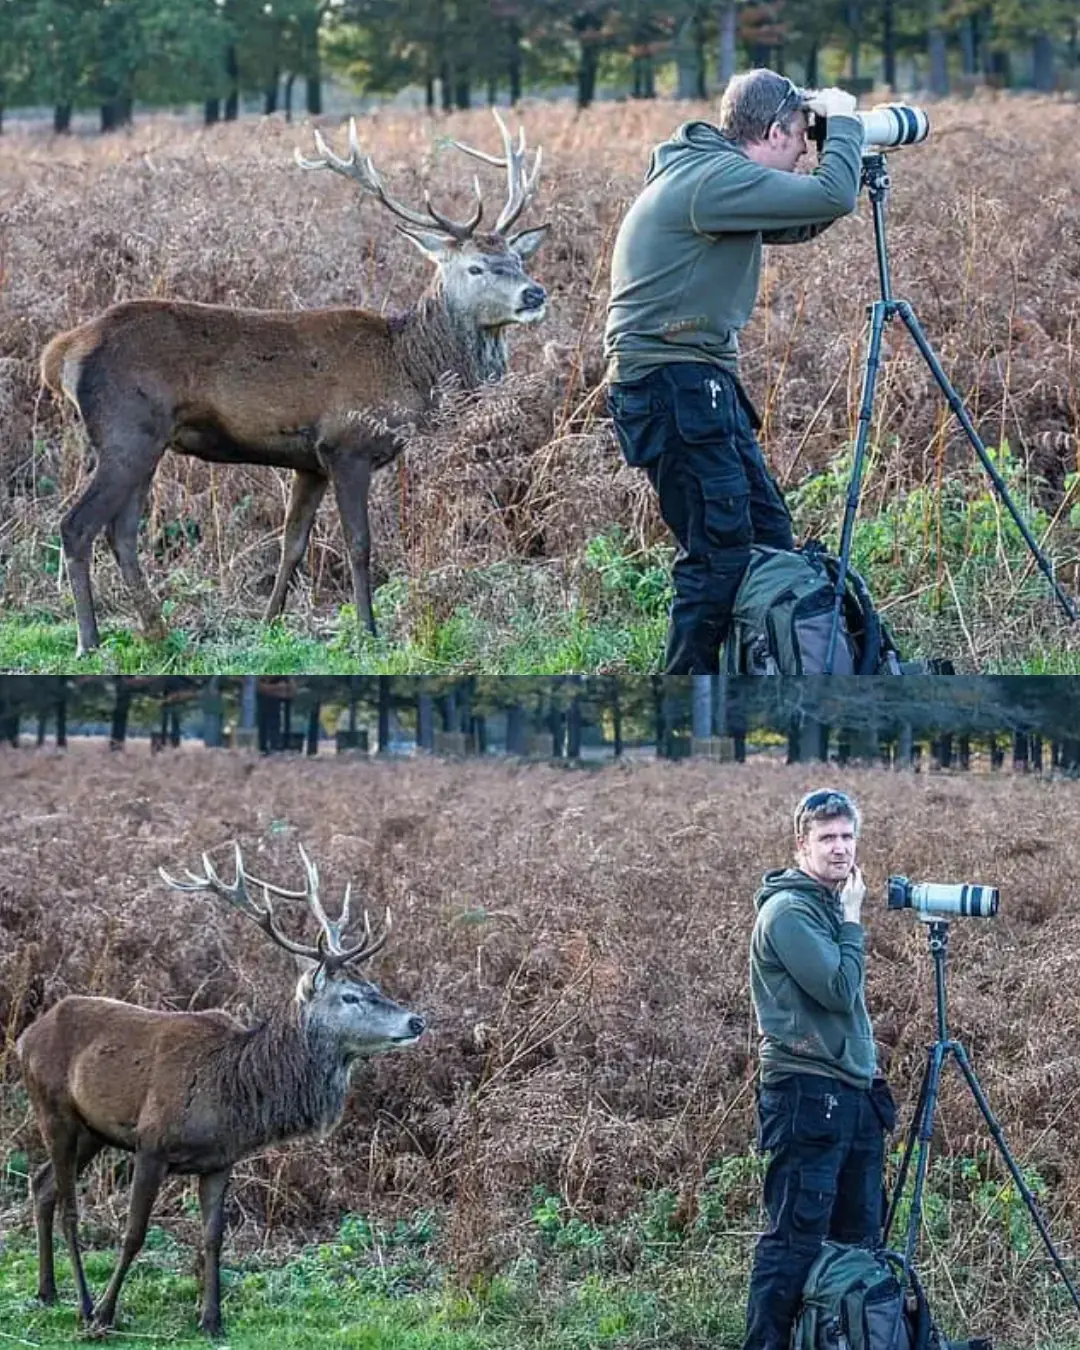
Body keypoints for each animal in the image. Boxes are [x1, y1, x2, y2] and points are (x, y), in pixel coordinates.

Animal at [15, 844, 426, 1337]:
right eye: (350, 996)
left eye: (375, 985)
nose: (417, 1020)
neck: (234, 1090)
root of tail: (24, 1037)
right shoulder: (151, 1144)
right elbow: (134, 1233)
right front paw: (108, 1314)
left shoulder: (220, 1160)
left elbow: (213, 1237)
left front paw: (211, 1319)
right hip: (52, 1109)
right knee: (68, 1207)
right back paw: (84, 1305)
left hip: (93, 1131)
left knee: (42, 1187)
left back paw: (47, 1291)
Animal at [39, 110, 549, 656]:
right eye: (476, 267)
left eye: (518, 261)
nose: (534, 293)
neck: (408, 368)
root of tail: (62, 351)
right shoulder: (348, 445)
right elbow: (359, 544)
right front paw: (368, 630)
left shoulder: (310, 461)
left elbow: (293, 542)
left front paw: (270, 622)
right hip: (125, 431)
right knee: (76, 525)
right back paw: (89, 641)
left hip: (146, 441)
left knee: (123, 533)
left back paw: (157, 633)